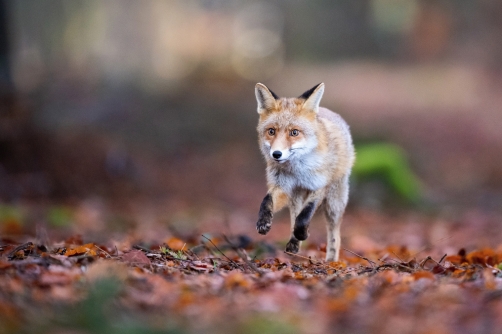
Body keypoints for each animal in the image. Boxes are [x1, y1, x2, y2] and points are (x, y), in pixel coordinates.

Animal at [253, 82, 354, 262]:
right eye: (271, 131)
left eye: (294, 132)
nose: (276, 154)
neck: (297, 171)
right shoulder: (282, 186)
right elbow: (267, 200)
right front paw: (263, 221)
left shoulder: (319, 185)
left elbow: (305, 215)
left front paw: (302, 233)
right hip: (295, 196)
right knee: (294, 215)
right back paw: (293, 244)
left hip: (334, 203)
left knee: (334, 234)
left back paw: (331, 261)